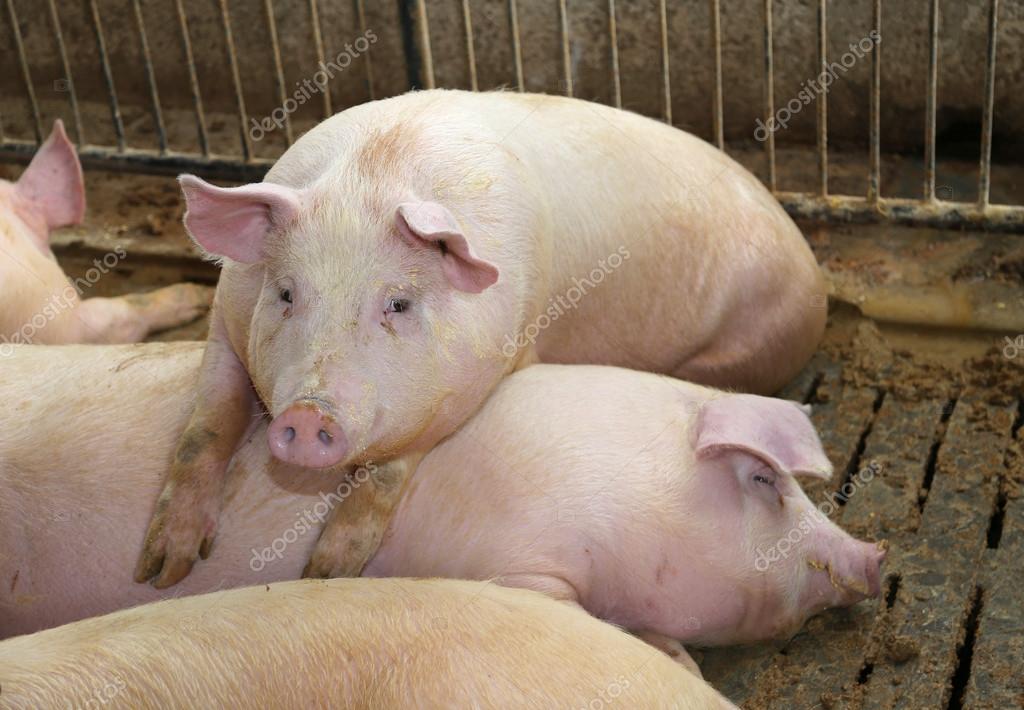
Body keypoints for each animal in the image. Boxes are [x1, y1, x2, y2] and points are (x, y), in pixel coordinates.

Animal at [138, 88, 828, 587]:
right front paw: (162, 570)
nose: (309, 416)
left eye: (398, 303)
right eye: (285, 293)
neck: (374, 174)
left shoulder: (493, 364)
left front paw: (325, 575)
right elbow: (205, 427)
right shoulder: (227, 319)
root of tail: (813, 278)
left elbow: (389, 472)